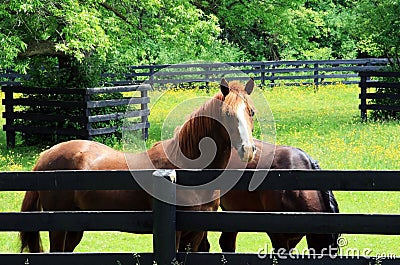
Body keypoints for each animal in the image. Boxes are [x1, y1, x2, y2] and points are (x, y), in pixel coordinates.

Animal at [19, 78, 256, 252]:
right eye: (227, 114)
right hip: (58, 228)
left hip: (75, 226)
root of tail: (45, 156)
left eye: (251, 111)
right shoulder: (177, 233)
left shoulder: (195, 233)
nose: (248, 149)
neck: (187, 170)